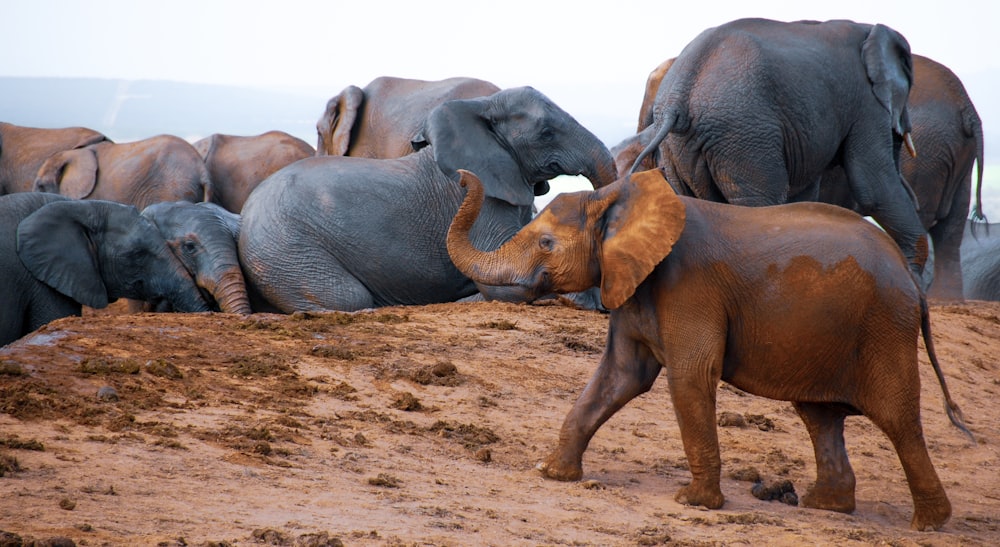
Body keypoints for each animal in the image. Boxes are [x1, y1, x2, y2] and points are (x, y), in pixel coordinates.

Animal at [450, 168, 972, 532]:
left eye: (546, 242)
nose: (460, 175)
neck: (618, 197)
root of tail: (912, 281)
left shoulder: (689, 287)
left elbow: (690, 376)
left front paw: (693, 503)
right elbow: (619, 377)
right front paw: (552, 473)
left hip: (884, 327)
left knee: (897, 419)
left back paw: (928, 524)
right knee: (820, 416)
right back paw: (825, 506)